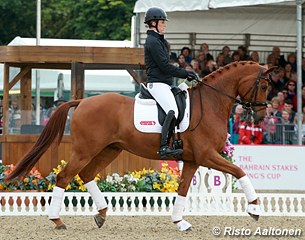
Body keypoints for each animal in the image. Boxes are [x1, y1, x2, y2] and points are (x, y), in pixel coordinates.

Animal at [5, 61, 274, 231]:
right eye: (263, 86)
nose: (261, 117)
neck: (210, 103)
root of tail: (82, 101)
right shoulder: (207, 155)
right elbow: (240, 171)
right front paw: (254, 208)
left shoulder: (192, 159)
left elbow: (183, 189)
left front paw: (180, 222)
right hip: (85, 150)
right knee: (64, 176)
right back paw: (58, 220)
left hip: (109, 149)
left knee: (87, 174)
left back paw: (101, 214)